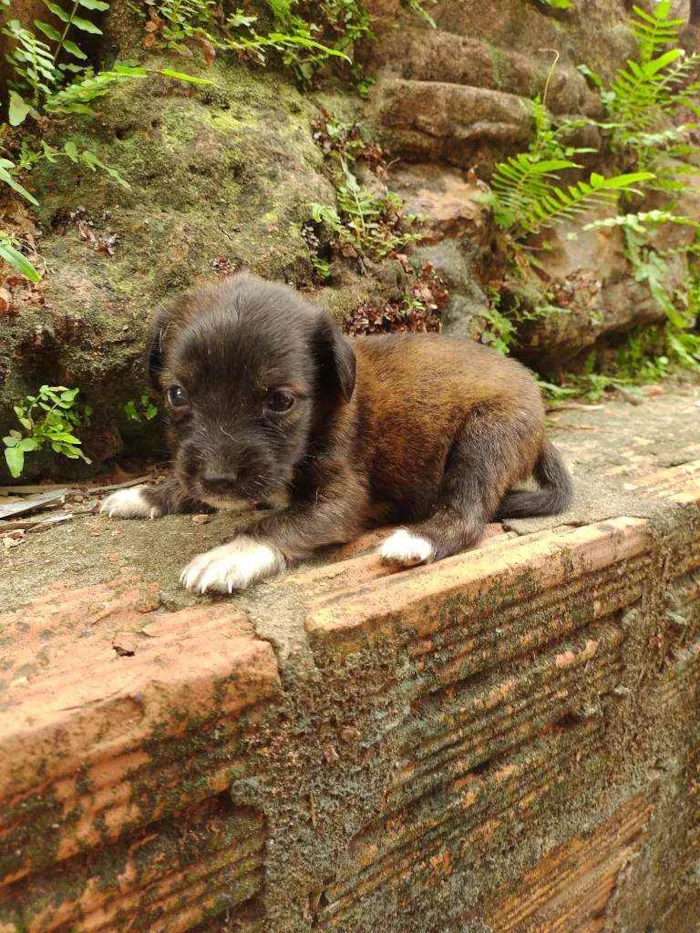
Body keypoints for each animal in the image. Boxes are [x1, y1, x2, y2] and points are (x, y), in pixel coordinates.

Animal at [105, 274, 576, 592]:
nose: (218, 481)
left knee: (467, 513)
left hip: (486, 436)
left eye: (281, 401)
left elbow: (278, 521)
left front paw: (229, 553)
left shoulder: (340, 501)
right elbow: (186, 482)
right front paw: (147, 495)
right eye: (177, 394)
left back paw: (418, 538)